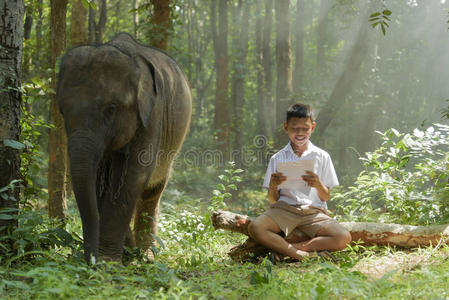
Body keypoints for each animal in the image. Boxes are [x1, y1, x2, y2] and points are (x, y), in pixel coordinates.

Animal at [57, 32, 192, 262]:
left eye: (111, 109)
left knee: (153, 191)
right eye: (63, 111)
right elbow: (99, 182)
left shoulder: (152, 115)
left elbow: (134, 176)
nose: (89, 260)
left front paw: (107, 261)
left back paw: (146, 255)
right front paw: (120, 254)